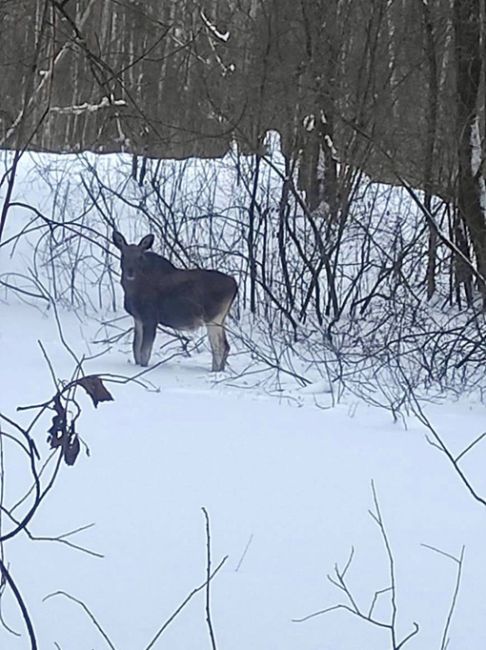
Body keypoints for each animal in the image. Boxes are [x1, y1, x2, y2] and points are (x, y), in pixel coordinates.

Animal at [112, 229, 237, 370]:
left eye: (140, 257)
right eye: (123, 255)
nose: (130, 272)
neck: (132, 291)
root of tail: (234, 284)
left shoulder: (150, 317)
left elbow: (144, 352)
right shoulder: (138, 317)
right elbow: (135, 349)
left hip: (213, 317)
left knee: (219, 347)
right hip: (220, 318)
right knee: (226, 346)